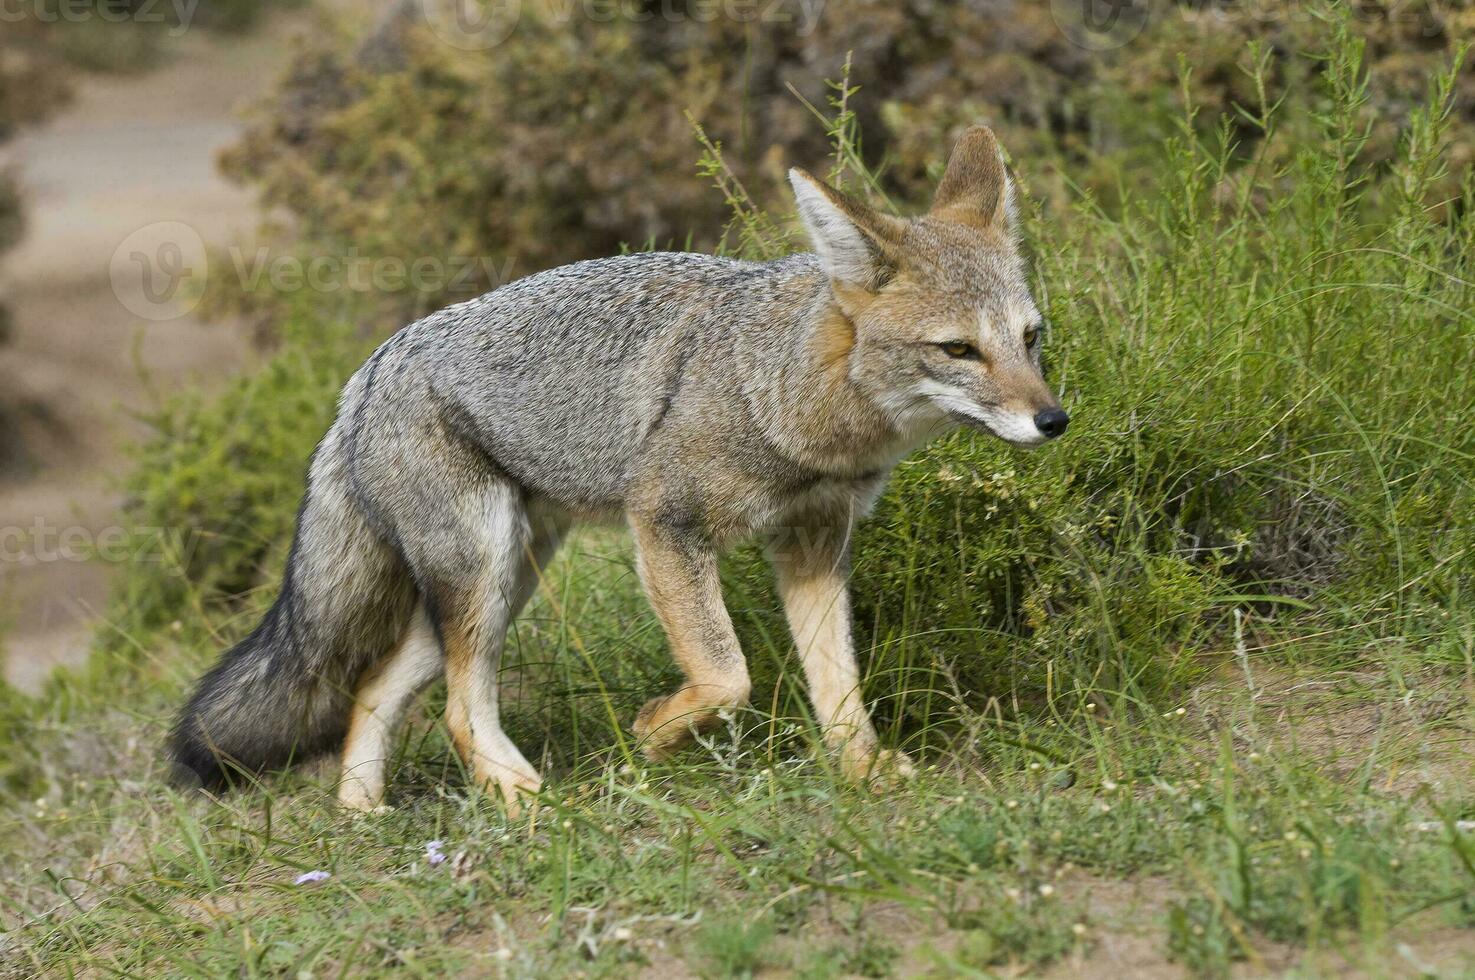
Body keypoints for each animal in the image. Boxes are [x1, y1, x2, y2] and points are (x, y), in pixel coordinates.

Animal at [172, 124, 1067, 808]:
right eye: (958, 350)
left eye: (1029, 339)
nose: (1053, 420)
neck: (780, 391)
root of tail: (365, 374)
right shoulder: (665, 523)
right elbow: (727, 676)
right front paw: (655, 734)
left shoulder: (814, 544)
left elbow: (835, 684)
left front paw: (859, 771)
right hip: (484, 574)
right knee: (458, 710)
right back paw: (524, 802)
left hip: (504, 581)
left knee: (374, 691)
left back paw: (363, 816)